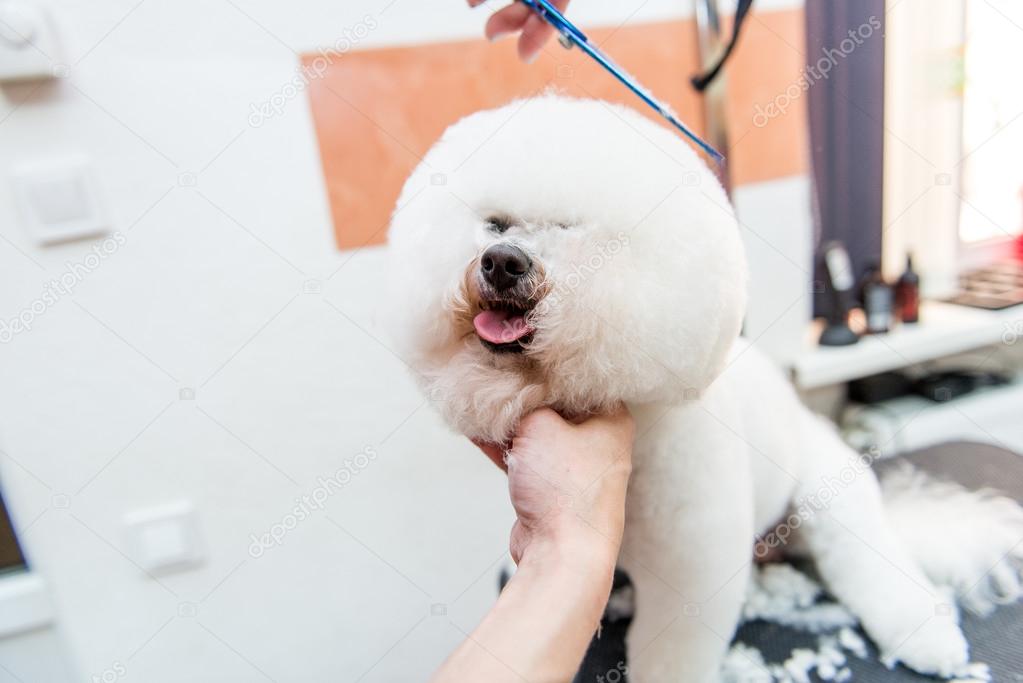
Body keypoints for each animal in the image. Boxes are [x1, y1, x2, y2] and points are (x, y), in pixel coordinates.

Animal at [384, 96, 1023, 683]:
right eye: (495, 224)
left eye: (568, 230)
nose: (501, 262)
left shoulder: (690, 575)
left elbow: (675, 649)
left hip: (831, 500)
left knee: (874, 564)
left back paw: (930, 640)